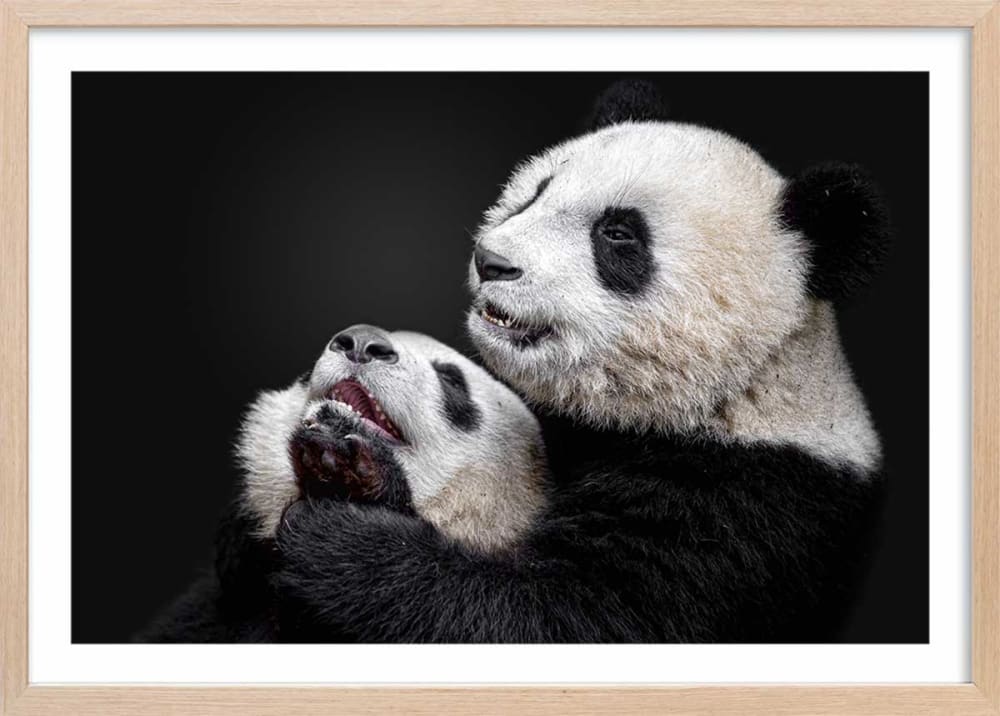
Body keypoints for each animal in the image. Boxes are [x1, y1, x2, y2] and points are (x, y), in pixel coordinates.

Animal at [272, 81, 890, 643]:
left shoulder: (743, 508)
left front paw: (344, 522)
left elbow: (565, 618)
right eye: (537, 192)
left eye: (617, 234)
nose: (492, 261)